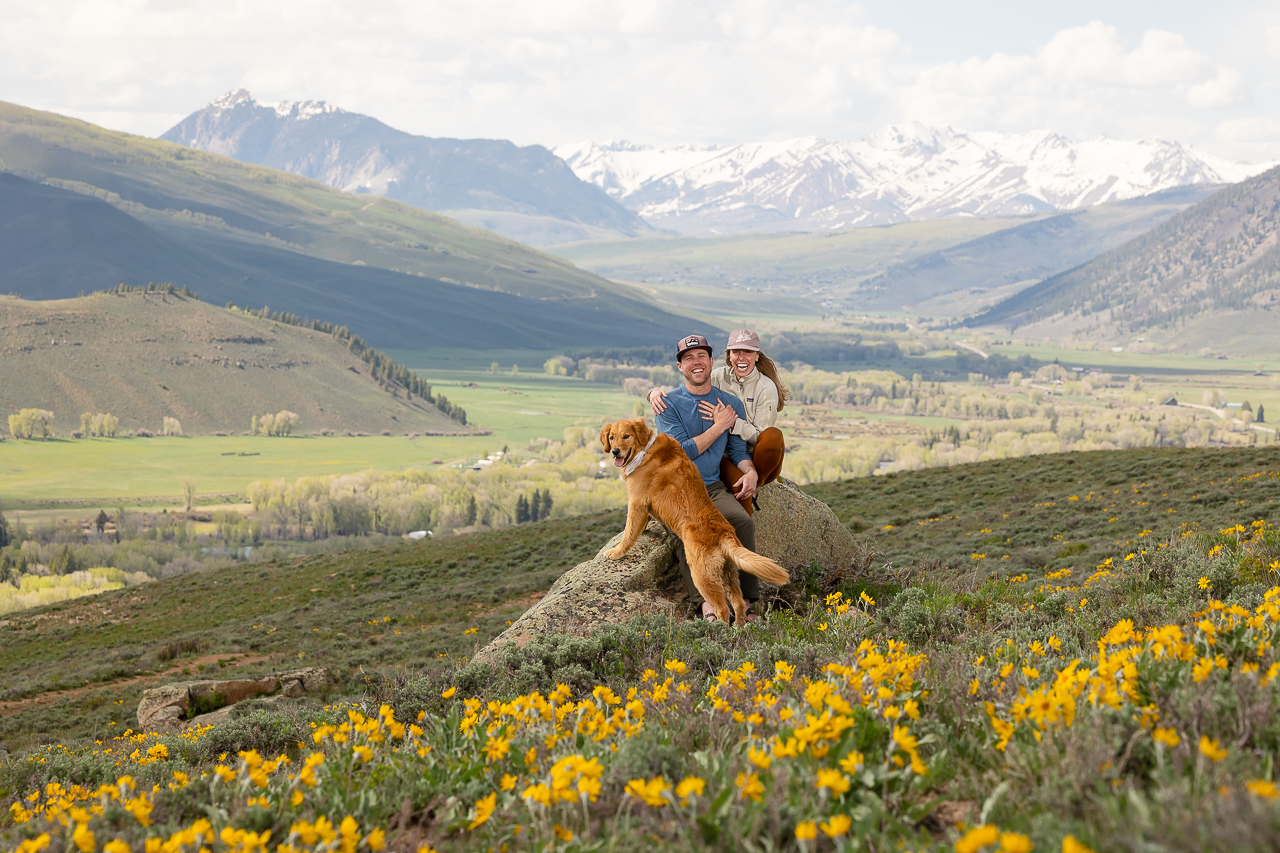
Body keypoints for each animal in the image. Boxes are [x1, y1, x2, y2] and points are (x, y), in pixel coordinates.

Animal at [599, 414, 788, 622]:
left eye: (626, 436)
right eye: (611, 438)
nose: (615, 451)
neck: (644, 450)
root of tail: (723, 533)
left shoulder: (637, 502)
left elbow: (629, 532)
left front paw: (616, 552)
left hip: (701, 574)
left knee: (722, 609)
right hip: (728, 574)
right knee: (738, 604)